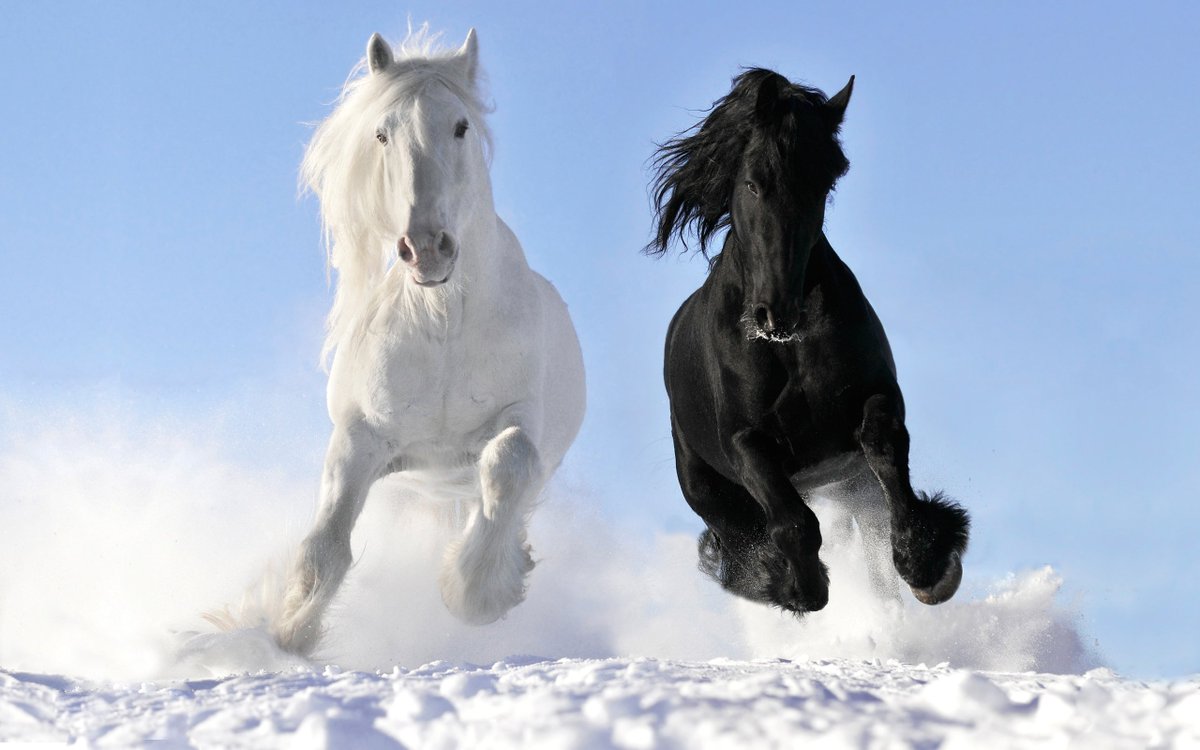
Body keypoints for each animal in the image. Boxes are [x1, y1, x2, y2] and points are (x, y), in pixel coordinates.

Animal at [272, 28, 586, 656]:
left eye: (461, 126)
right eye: (381, 133)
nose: (425, 248)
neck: (443, 325)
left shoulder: (522, 421)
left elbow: (509, 462)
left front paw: (475, 592)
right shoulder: (361, 438)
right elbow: (324, 546)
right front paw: (288, 632)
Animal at [646, 69, 969, 617]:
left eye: (822, 184)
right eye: (753, 182)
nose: (777, 313)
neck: (787, 349)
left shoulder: (875, 399)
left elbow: (884, 448)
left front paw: (928, 564)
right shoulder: (745, 442)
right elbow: (792, 523)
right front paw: (798, 586)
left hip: (851, 485)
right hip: (709, 489)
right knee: (740, 540)